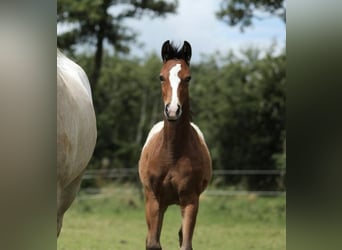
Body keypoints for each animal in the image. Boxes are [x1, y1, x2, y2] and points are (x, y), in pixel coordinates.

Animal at [138, 41, 211, 250]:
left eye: (188, 78)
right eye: (161, 77)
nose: (172, 110)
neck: (172, 153)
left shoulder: (190, 200)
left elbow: (185, 243)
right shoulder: (154, 199)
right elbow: (153, 243)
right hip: (157, 202)